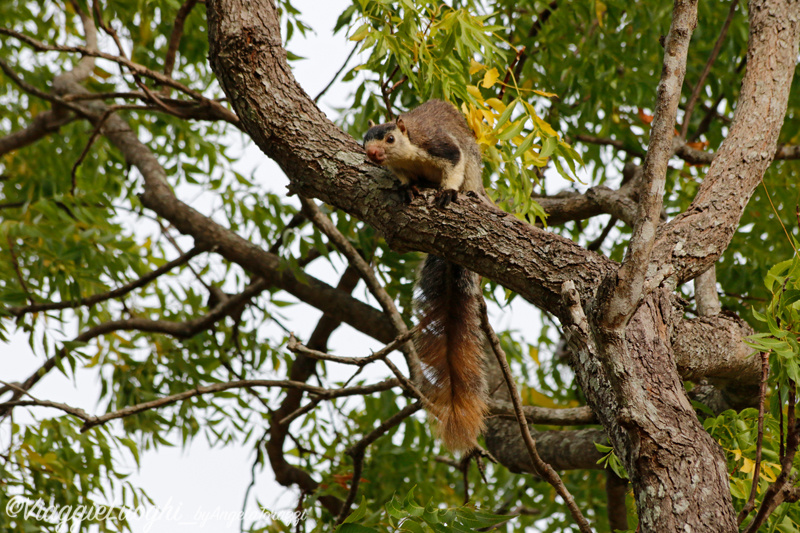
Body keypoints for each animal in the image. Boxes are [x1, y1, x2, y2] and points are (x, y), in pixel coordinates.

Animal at [364, 100, 488, 448]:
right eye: (365, 140)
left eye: (390, 138)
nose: (373, 154)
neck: (409, 155)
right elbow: (404, 179)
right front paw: (408, 188)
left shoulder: (442, 147)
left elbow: (454, 165)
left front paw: (447, 192)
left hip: (474, 172)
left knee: (470, 179)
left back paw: (469, 195)